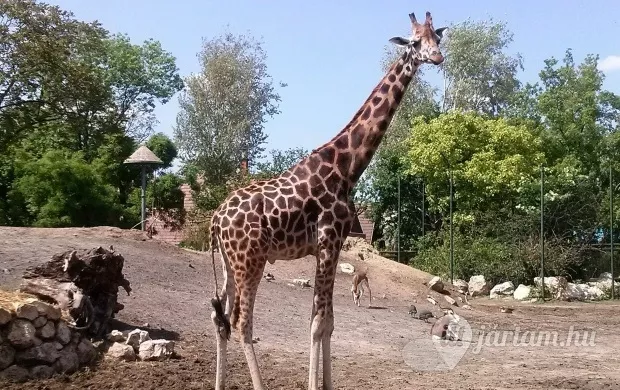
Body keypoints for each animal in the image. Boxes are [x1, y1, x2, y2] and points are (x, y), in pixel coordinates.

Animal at [208, 9, 446, 390]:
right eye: (413, 42)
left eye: (437, 38)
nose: (436, 57)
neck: (347, 168)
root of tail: (215, 220)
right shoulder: (328, 240)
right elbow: (318, 323)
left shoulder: (331, 246)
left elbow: (330, 323)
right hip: (250, 260)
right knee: (243, 322)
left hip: (230, 263)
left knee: (221, 319)